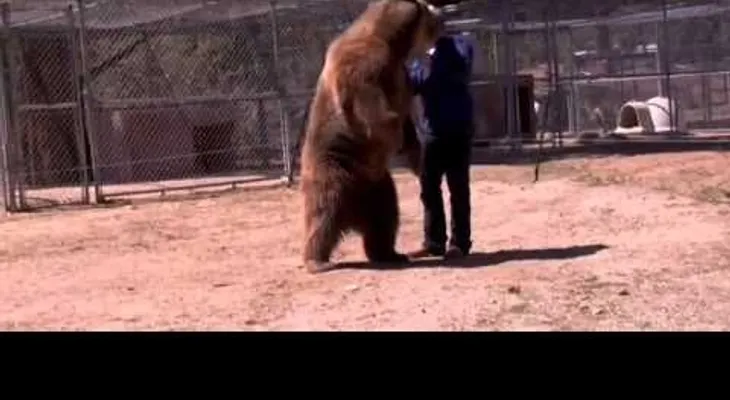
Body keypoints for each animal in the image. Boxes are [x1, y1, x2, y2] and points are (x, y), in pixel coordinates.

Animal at [298, 0, 447, 274]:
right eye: (430, 13)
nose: (442, 17)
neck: (394, 44)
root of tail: (353, 213)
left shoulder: (400, 76)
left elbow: (406, 121)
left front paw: (417, 158)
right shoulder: (365, 67)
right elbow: (374, 110)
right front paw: (395, 139)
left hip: (376, 184)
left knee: (385, 216)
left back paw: (389, 253)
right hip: (334, 167)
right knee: (323, 212)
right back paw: (317, 260)